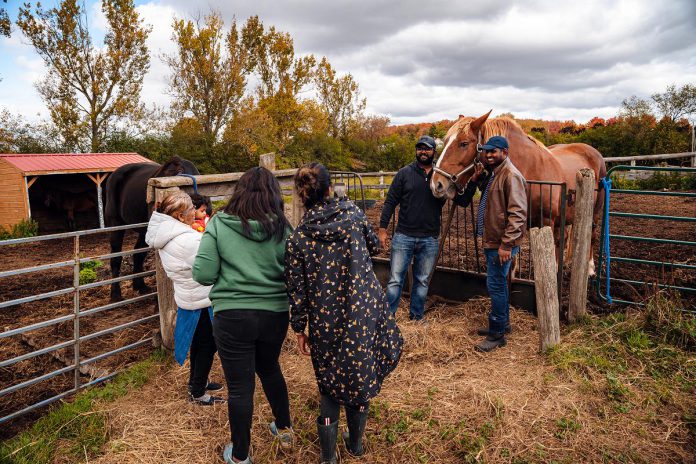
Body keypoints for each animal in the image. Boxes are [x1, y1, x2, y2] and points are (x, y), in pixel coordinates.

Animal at [104, 156, 200, 300]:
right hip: (116, 224)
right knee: (116, 257)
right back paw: (115, 294)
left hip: (144, 231)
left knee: (138, 254)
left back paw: (140, 286)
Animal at [432, 112, 608, 276]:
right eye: (445, 142)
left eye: (464, 143)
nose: (436, 184)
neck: (531, 170)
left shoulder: (546, 222)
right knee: (562, 239)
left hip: (594, 213)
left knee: (590, 236)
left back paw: (590, 269)